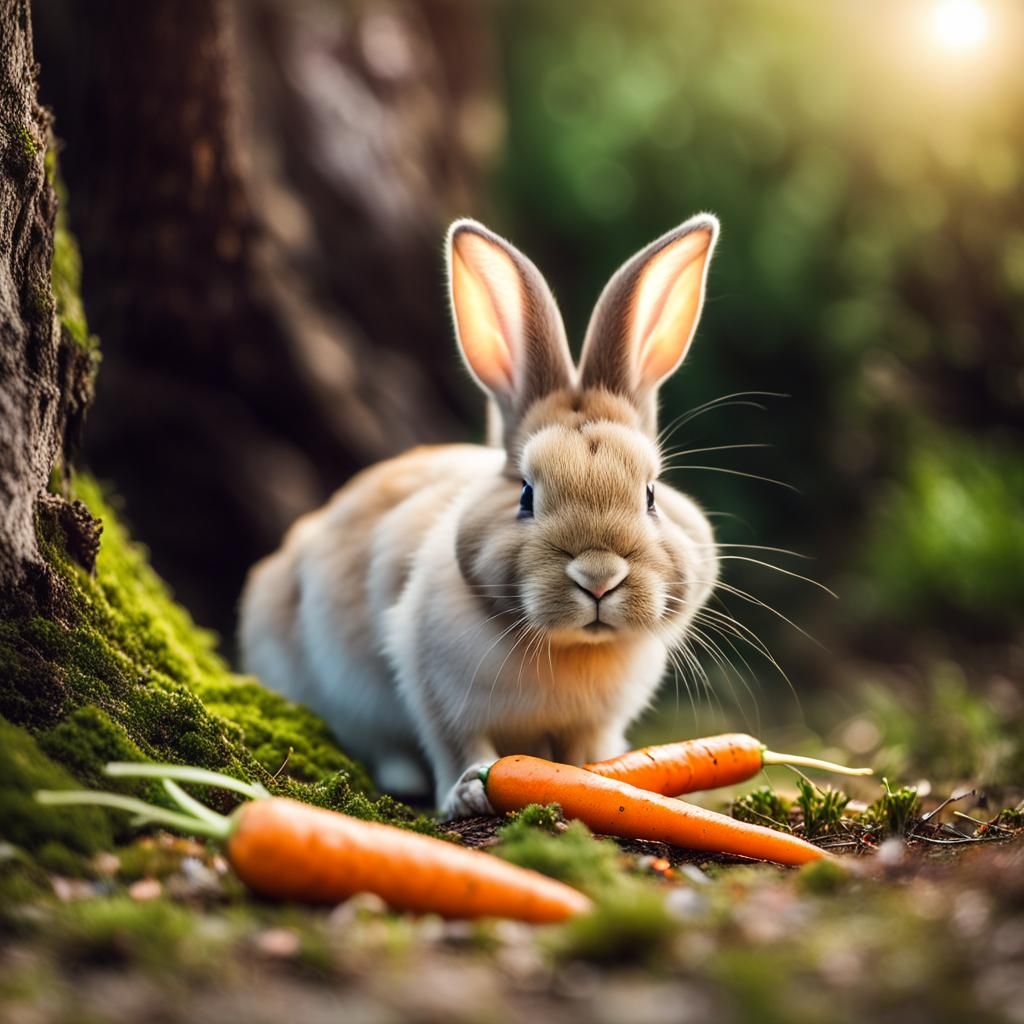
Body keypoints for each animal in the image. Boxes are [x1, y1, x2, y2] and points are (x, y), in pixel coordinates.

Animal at [239, 213, 721, 819]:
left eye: (651, 494)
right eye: (526, 496)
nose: (599, 577)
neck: (570, 650)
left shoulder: (592, 720)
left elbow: (585, 751)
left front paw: (595, 774)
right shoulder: (434, 687)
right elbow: (457, 745)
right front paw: (467, 793)